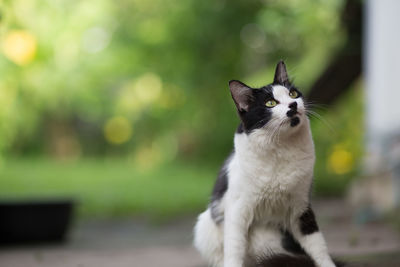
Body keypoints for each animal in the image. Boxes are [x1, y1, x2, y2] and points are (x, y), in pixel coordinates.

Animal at [194, 61, 344, 267]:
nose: (293, 104)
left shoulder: (301, 206)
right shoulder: (237, 210)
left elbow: (317, 243)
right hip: (205, 226)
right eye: (270, 103)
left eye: (293, 94)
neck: (281, 148)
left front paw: (327, 264)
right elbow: (234, 248)